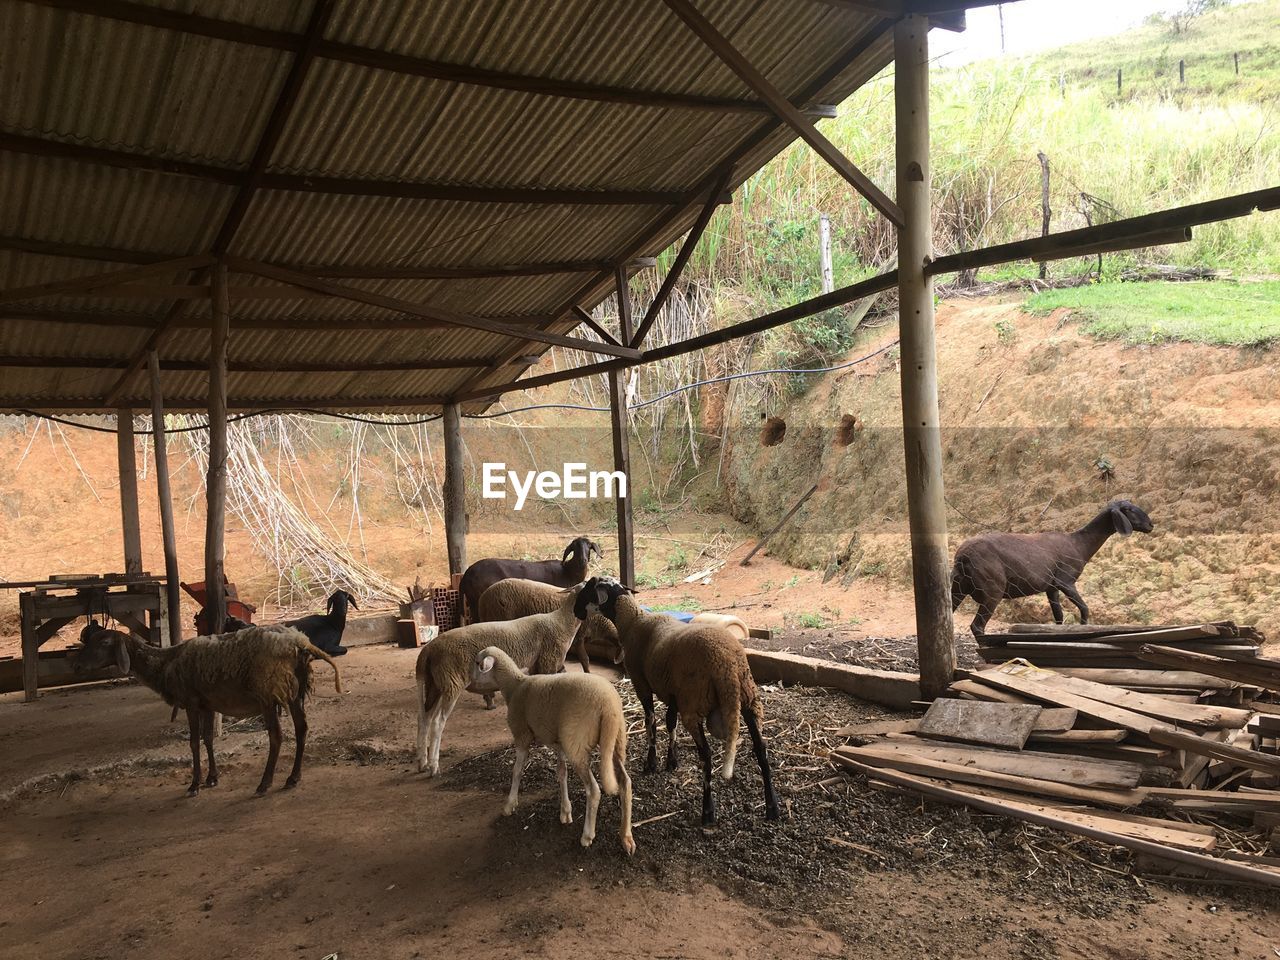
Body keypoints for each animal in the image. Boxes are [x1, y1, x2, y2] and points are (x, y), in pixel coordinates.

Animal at [70, 624, 340, 798]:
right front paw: (212, 778)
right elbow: (208, 739)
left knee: (277, 736)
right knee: (302, 729)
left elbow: (193, 742)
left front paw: (194, 785)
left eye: (104, 642)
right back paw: (293, 778)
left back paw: (264, 783)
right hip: (294, 692)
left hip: (268, 692)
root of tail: (300, 642)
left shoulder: (191, 702)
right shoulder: (208, 704)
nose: (77, 665)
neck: (165, 662)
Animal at [414, 583, 586, 778]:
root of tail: (427, 651)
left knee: (424, 717)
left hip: (434, 684)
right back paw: (434, 767)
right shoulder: (548, 663)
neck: (561, 622)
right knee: (437, 722)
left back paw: (422, 762)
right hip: (451, 682)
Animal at [471, 647, 634, 855]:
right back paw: (626, 836)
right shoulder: (559, 744)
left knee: (594, 790)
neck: (515, 686)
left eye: (477, 663)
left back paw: (587, 836)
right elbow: (561, 773)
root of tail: (608, 706)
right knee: (625, 782)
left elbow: (517, 771)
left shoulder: (522, 735)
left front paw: (510, 804)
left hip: (577, 742)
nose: (469, 682)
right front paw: (565, 811)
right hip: (616, 741)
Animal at [578, 576, 778, 829]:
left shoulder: (642, 684)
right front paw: (672, 760)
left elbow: (651, 722)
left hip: (694, 704)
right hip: (749, 700)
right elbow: (670, 723)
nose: (576, 610)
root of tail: (728, 664)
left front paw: (651, 763)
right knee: (761, 749)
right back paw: (772, 807)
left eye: (587, 587)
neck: (633, 621)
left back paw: (708, 812)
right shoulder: (672, 692)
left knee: (707, 755)